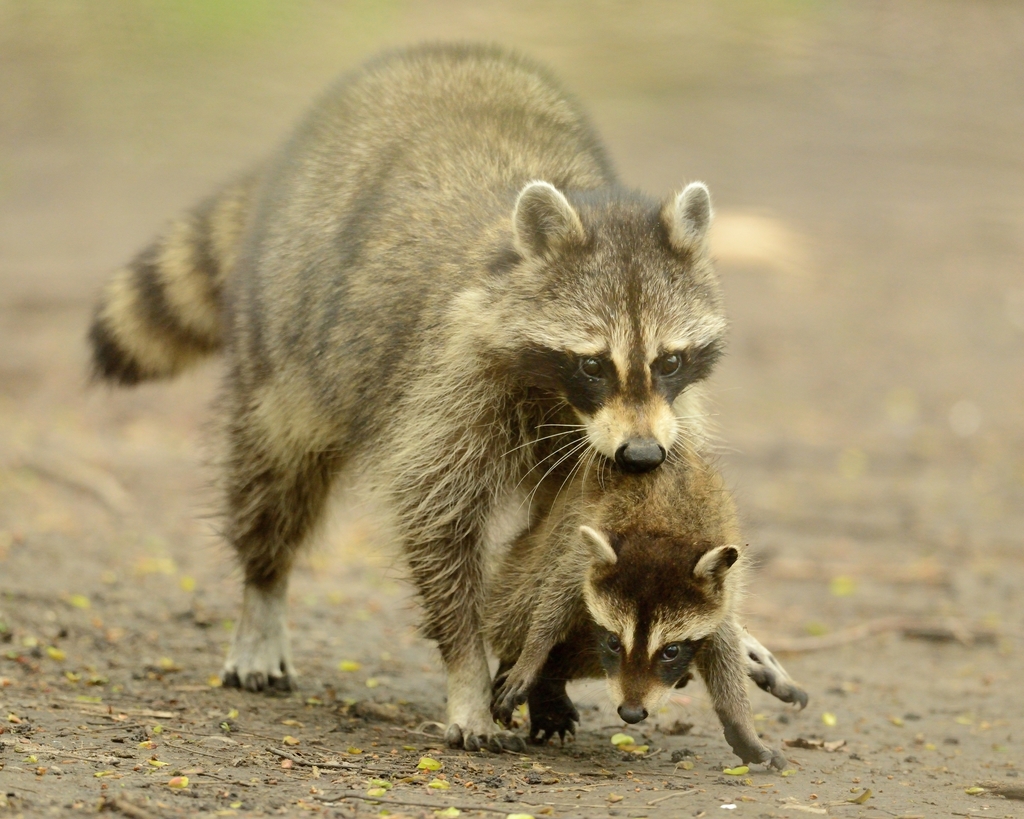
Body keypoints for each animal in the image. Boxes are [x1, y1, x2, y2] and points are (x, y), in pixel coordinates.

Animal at [90, 43, 729, 749]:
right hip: (286, 333)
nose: (642, 457)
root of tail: (429, 55)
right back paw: (262, 584)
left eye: (670, 360)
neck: (562, 399)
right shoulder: (450, 383)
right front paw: (468, 670)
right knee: (274, 468)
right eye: (593, 364)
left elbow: (567, 541)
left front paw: (542, 676)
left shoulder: (645, 426)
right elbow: (436, 515)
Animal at [487, 448, 806, 769]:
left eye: (671, 651)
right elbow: (555, 598)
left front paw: (741, 722)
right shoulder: (581, 552)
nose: (630, 714)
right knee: (528, 592)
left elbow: (724, 650)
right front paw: (532, 656)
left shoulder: (724, 589)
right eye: (613, 642)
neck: (662, 529)